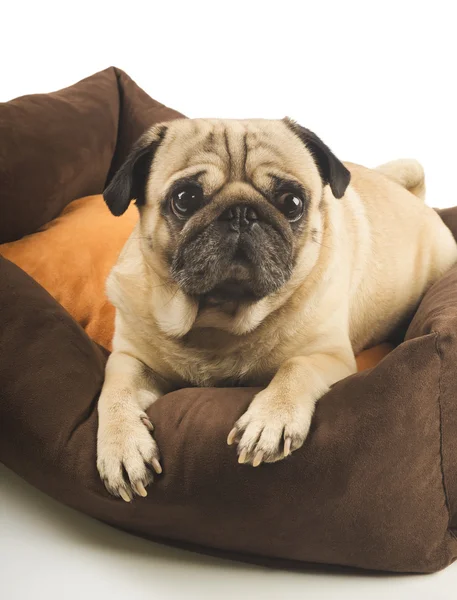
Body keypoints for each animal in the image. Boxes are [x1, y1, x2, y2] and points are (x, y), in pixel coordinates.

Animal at [95, 117, 456, 502]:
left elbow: (295, 367)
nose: (241, 212)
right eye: (185, 198)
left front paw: (271, 419)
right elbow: (113, 392)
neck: (219, 319)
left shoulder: (329, 355)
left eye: (293, 202)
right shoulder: (130, 359)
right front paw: (121, 447)